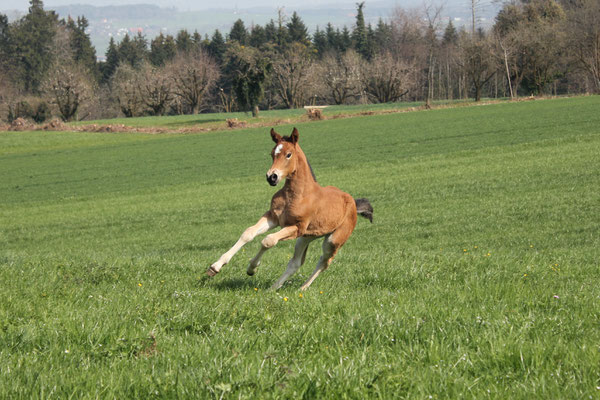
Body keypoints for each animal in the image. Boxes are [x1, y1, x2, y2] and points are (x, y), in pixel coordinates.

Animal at [209, 126, 372, 290]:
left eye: (288, 154)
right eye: (272, 153)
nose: (271, 177)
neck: (297, 195)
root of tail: (353, 202)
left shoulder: (296, 227)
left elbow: (268, 240)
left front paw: (252, 268)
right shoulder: (273, 217)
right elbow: (248, 233)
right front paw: (215, 267)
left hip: (333, 240)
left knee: (325, 261)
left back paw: (302, 288)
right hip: (307, 237)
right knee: (296, 263)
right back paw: (273, 289)